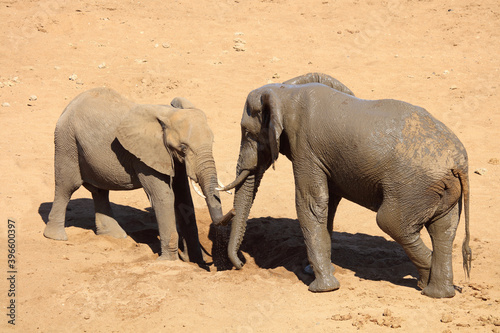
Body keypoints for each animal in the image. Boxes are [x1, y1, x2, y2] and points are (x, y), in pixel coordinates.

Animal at [43, 87, 232, 264]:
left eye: (212, 142)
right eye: (183, 147)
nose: (232, 211)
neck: (167, 115)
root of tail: (69, 106)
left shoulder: (169, 157)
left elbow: (183, 197)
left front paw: (194, 260)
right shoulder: (144, 156)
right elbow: (164, 197)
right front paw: (168, 261)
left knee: (100, 190)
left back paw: (114, 236)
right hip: (67, 140)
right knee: (67, 186)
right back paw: (56, 237)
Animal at [218, 76, 468, 298]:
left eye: (247, 132)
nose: (240, 264)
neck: (285, 90)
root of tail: (459, 164)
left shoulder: (305, 148)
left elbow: (310, 204)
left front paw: (322, 288)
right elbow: (327, 206)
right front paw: (315, 272)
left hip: (412, 187)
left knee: (391, 222)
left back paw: (428, 281)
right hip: (442, 191)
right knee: (444, 229)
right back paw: (440, 292)